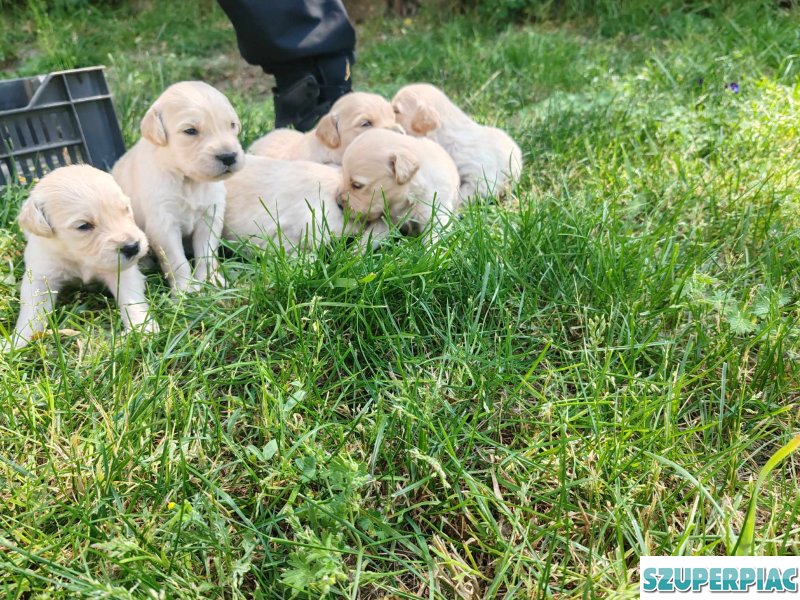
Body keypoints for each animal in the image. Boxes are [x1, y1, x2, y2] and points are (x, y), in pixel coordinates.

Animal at [1, 164, 155, 352]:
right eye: (84, 226)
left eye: (126, 209)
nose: (133, 247)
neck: (79, 257)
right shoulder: (40, 275)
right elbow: (32, 311)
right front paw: (16, 341)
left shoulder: (122, 272)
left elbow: (131, 298)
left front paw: (142, 328)